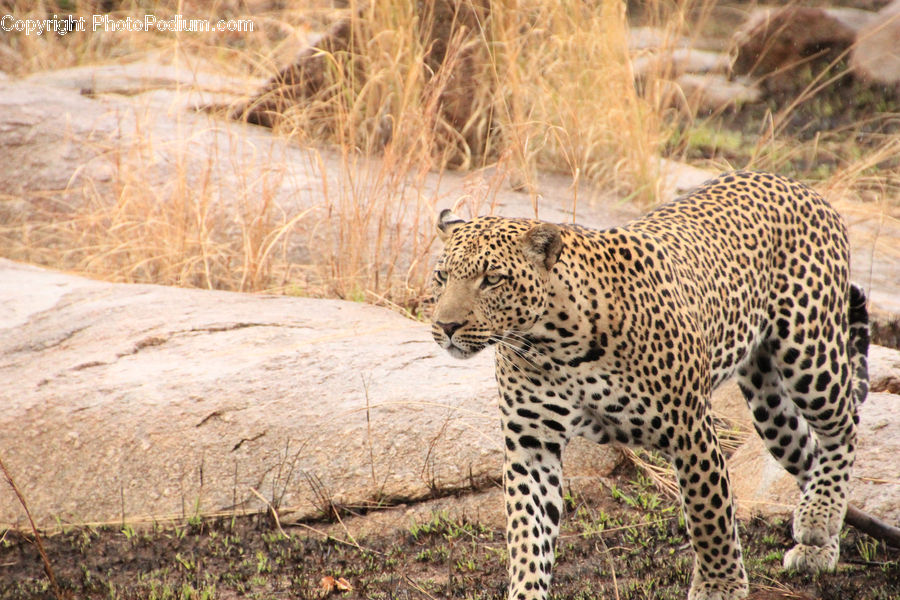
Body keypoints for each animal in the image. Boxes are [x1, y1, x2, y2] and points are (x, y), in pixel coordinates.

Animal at [429, 170, 870, 600]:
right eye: (442, 276)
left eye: (492, 279)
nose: (446, 326)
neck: (551, 345)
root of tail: (800, 186)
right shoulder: (531, 446)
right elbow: (527, 535)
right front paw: (526, 590)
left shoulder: (690, 431)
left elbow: (709, 514)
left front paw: (720, 585)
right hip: (769, 403)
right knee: (807, 452)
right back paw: (819, 542)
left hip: (810, 354)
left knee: (843, 427)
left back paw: (818, 516)